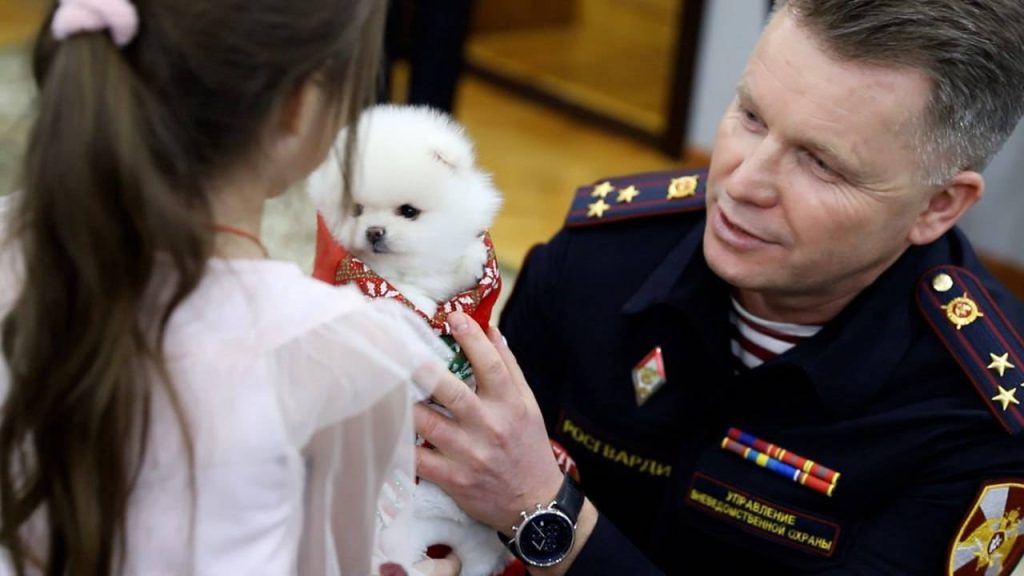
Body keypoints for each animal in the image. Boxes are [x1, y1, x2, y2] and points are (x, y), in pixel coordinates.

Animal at [303, 104, 512, 573]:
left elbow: (460, 269)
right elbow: (400, 299)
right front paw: (418, 311)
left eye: (409, 212)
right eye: (357, 209)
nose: (374, 231)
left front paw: (472, 261)